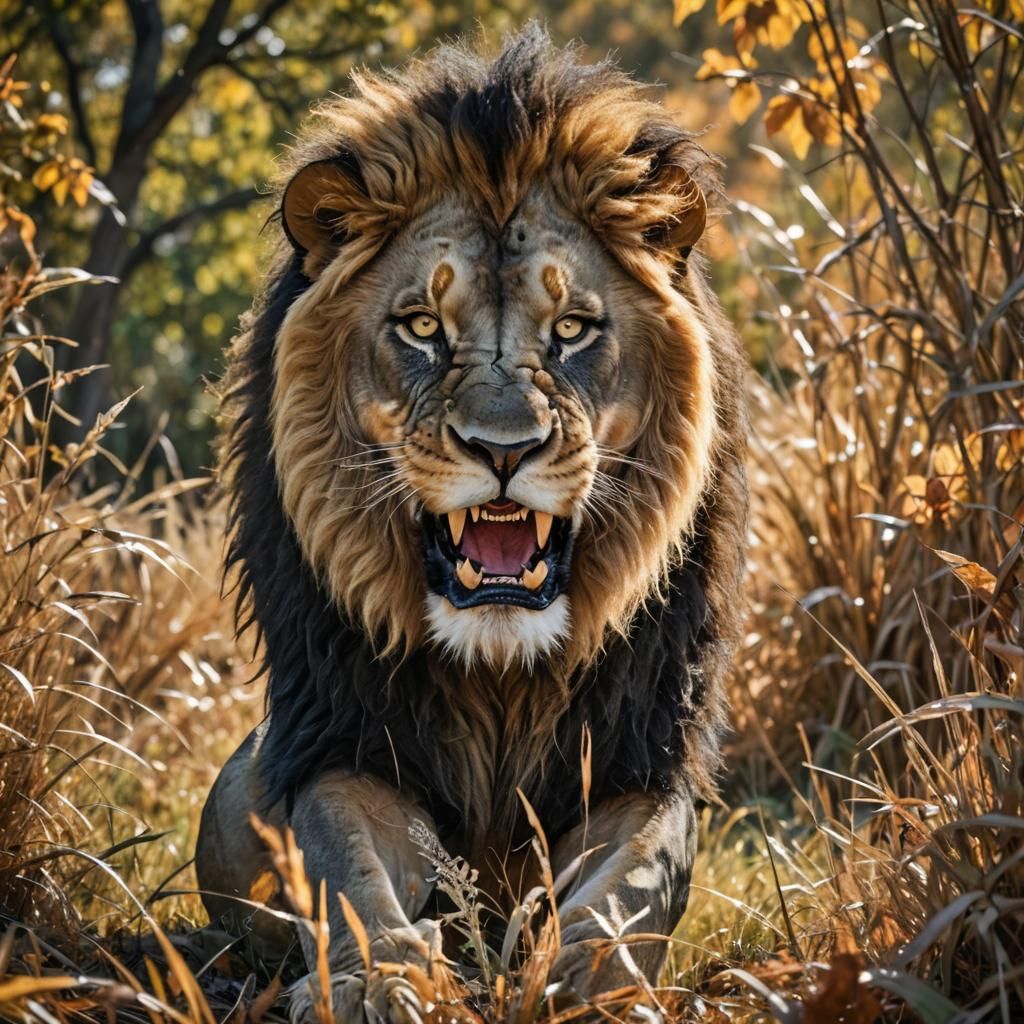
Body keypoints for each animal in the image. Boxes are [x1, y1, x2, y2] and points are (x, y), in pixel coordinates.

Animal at [195, 24, 748, 1022]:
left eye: (572, 330)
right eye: (421, 326)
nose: (503, 448)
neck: (499, 675)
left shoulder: (637, 760)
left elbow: (636, 882)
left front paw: (582, 979)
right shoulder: (349, 743)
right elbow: (348, 868)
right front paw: (383, 980)